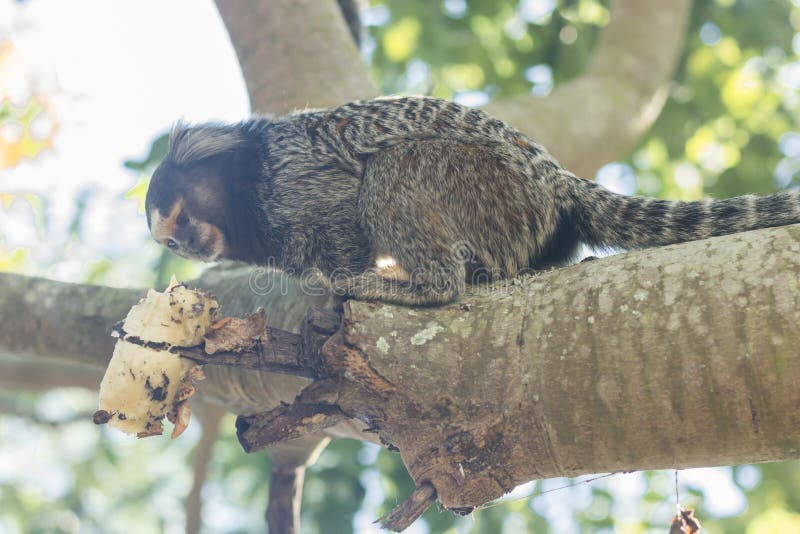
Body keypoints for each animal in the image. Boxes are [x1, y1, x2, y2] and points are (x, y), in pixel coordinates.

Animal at [145, 96, 800, 306]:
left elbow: (342, 207)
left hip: (487, 185)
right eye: (169, 239)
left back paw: (425, 286)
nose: (186, 245)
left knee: (392, 174)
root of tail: (553, 180)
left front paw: (350, 279)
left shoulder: (293, 181)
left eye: (180, 219)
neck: (244, 189)